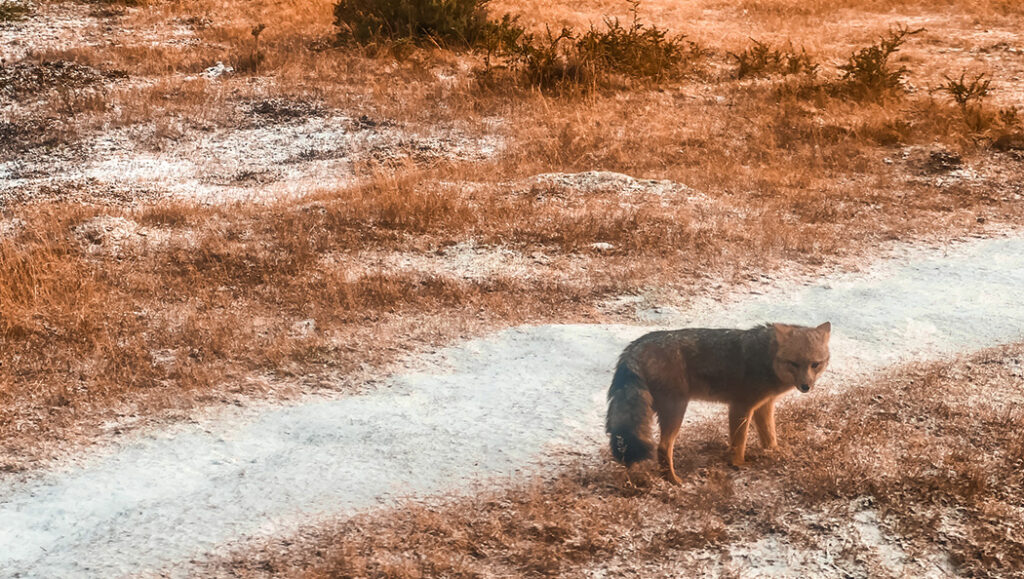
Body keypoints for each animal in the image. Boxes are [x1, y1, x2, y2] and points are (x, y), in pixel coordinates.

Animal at [606, 319, 831, 483]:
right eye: (794, 364)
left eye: (815, 364)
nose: (806, 386)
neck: (766, 358)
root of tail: (635, 346)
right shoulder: (741, 406)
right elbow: (738, 443)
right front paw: (738, 465)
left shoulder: (764, 406)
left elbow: (770, 436)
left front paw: (775, 454)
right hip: (677, 410)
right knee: (663, 447)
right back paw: (674, 480)